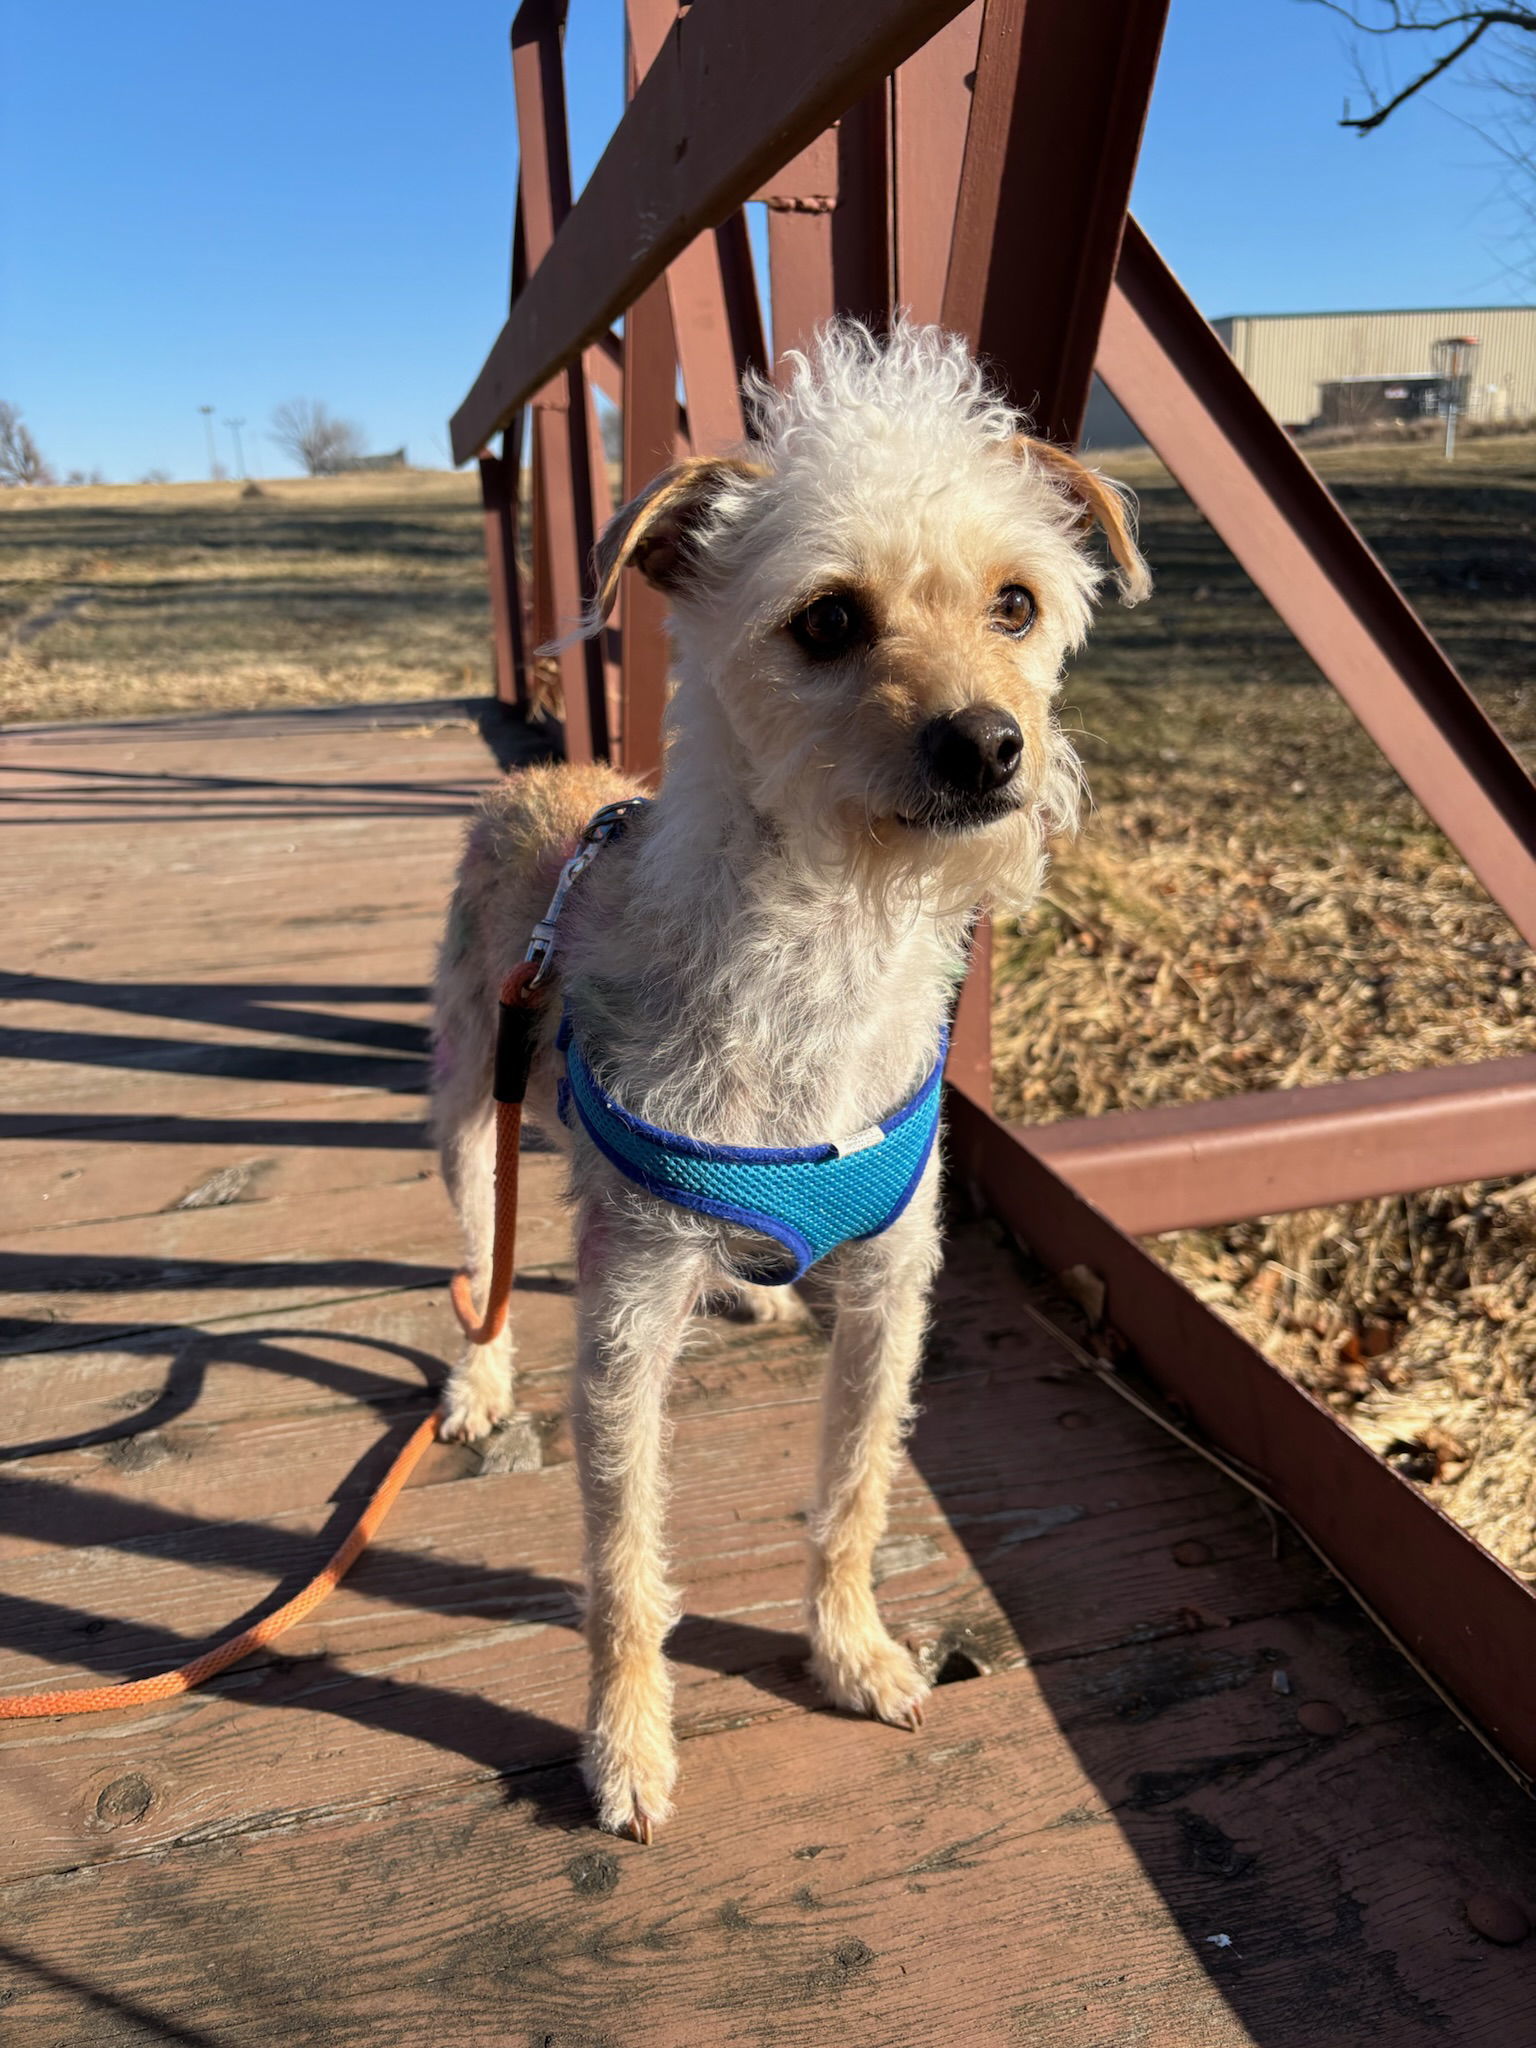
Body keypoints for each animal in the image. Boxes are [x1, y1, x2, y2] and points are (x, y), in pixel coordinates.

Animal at [428, 319, 1146, 1843]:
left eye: (1015, 602)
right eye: (826, 620)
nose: (988, 743)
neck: (830, 943)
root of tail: (545, 779)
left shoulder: (891, 1289)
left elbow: (859, 1488)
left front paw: (852, 1648)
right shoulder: (624, 1328)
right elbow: (625, 1560)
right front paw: (627, 1742)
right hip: (467, 1102)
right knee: (483, 1256)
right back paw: (479, 1377)